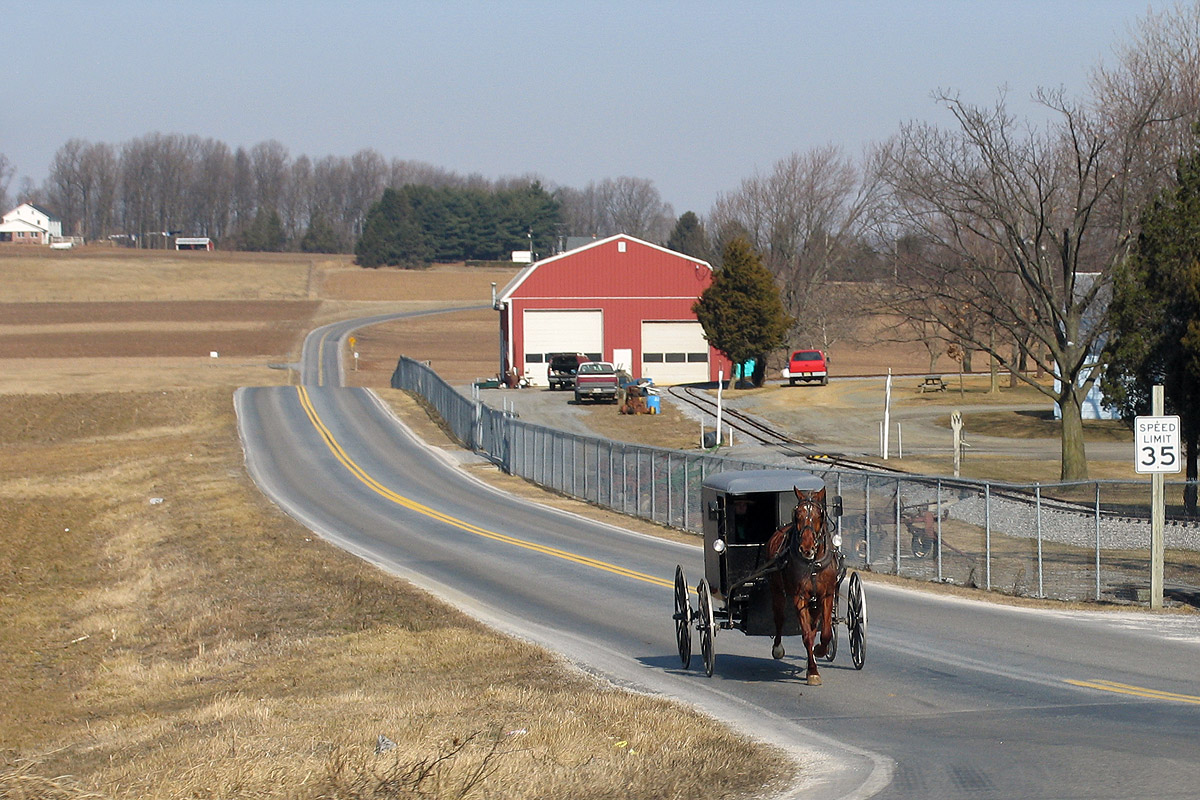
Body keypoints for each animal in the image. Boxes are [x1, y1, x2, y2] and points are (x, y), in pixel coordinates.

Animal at [772, 484, 840, 686]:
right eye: (797, 514)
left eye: (820, 514)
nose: (806, 548)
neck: (813, 564)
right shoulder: (799, 596)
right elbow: (807, 635)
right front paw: (813, 671)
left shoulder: (827, 595)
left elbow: (825, 632)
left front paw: (820, 650)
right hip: (777, 589)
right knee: (779, 618)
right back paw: (777, 647)